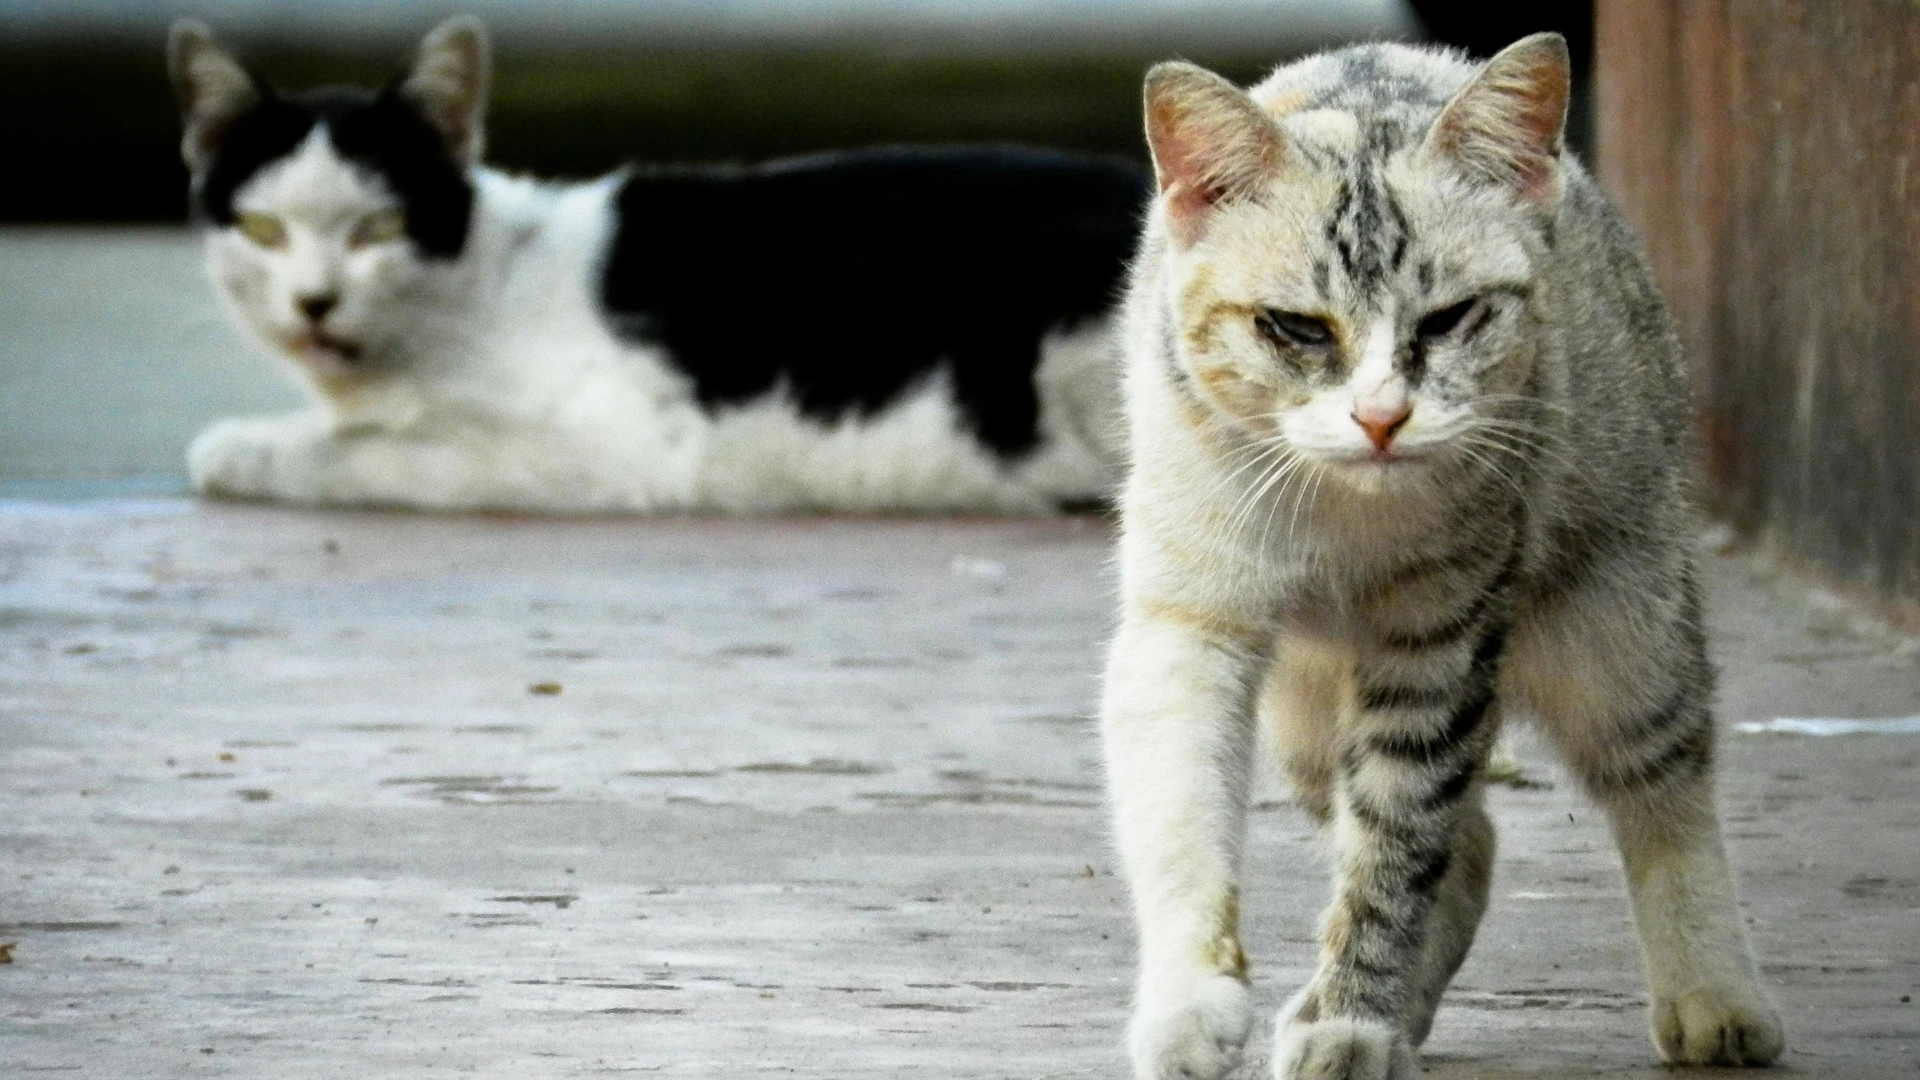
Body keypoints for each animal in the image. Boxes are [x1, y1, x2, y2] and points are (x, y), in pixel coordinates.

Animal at [168, 16, 1136, 511]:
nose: (315, 301)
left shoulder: (602, 450)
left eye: (378, 226)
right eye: (261, 229)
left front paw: (249, 446)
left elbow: (359, 455)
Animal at [1105, 33, 1789, 1076]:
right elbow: (1181, 812)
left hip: (1621, 626)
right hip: (1310, 722)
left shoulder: (1437, 643)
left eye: (1450, 319)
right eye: (1296, 328)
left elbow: (1394, 850)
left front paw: (1355, 1019)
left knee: (1662, 787)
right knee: (1471, 850)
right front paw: (1191, 1005)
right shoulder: (1189, 621)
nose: (1382, 417)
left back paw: (1713, 996)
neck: (1340, 512)